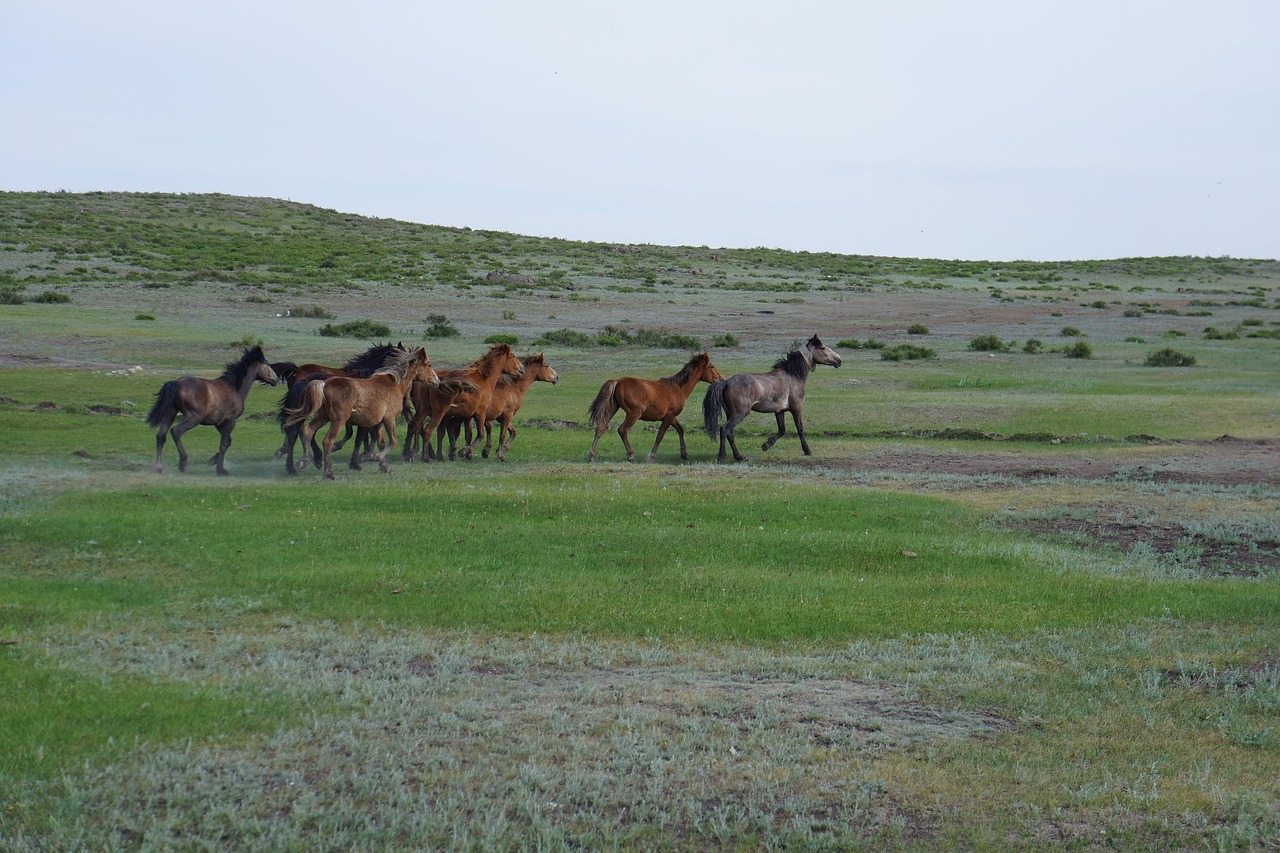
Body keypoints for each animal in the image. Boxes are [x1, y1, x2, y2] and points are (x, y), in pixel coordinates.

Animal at [145, 345, 280, 475]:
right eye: (267, 363)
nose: (276, 379)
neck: (235, 388)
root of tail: (176, 383)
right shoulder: (230, 420)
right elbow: (224, 444)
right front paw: (220, 469)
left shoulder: (218, 423)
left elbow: (228, 441)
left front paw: (212, 460)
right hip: (193, 418)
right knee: (176, 431)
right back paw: (183, 463)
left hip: (170, 414)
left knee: (161, 436)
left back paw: (160, 468)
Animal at [283, 347, 437, 479]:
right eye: (429, 365)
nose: (436, 381)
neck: (394, 384)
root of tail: (324, 384)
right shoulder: (389, 419)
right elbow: (392, 442)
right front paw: (371, 457)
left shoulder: (379, 422)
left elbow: (381, 443)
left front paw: (383, 466)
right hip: (338, 420)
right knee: (327, 441)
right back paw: (329, 472)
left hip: (323, 417)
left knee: (307, 430)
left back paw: (303, 462)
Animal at [586, 352, 724, 463]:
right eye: (711, 366)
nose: (721, 378)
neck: (677, 388)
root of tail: (617, 381)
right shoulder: (669, 417)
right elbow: (660, 436)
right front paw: (651, 457)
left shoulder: (670, 416)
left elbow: (680, 430)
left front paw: (684, 453)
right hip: (634, 414)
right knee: (622, 430)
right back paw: (630, 455)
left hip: (612, 408)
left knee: (600, 428)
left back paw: (591, 455)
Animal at [702, 334, 842, 463]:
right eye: (823, 347)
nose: (839, 360)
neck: (793, 375)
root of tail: (726, 383)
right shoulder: (797, 408)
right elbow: (800, 428)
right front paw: (807, 450)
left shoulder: (779, 411)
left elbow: (782, 430)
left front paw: (766, 445)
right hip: (739, 413)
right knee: (724, 429)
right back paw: (721, 456)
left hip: (730, 414)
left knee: (730, 434)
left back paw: (739, 457)